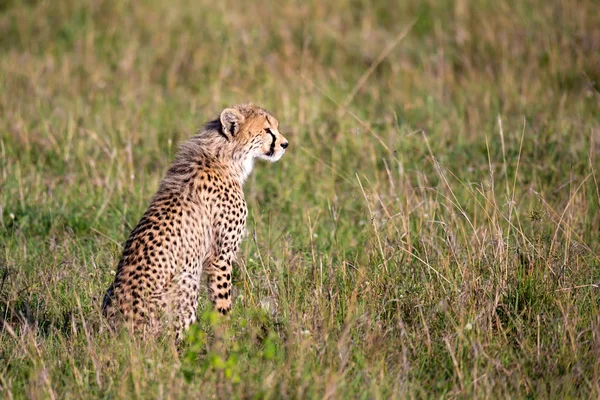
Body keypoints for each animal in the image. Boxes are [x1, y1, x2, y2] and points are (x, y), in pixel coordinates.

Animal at [102, 104, 290, 340]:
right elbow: (222, 302)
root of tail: (118, 333)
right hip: (186, 283)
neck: (225, 156)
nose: (285, 144)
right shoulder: (220, 256)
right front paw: (228, 335)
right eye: (267, 130)